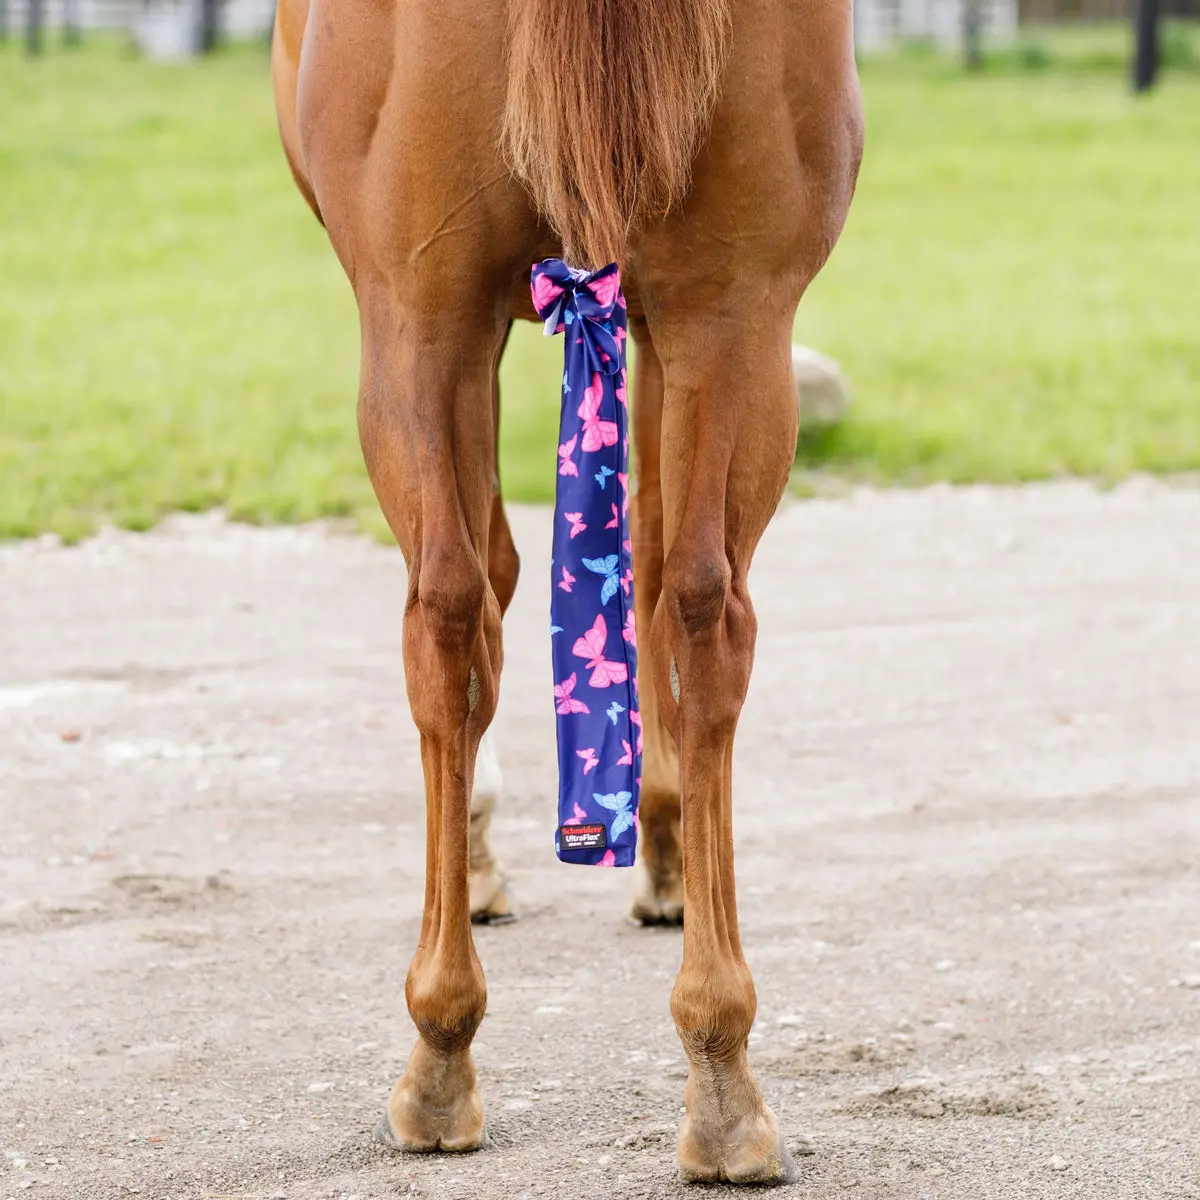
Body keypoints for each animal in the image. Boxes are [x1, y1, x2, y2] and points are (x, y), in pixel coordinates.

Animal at [271, 0, 862, 1182]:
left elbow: (527, 576)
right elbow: (642, 571)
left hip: (422, 321)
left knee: (453, 605)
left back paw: (441, 1052)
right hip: (727, 312)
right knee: (697, 606)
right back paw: (721, 1076)